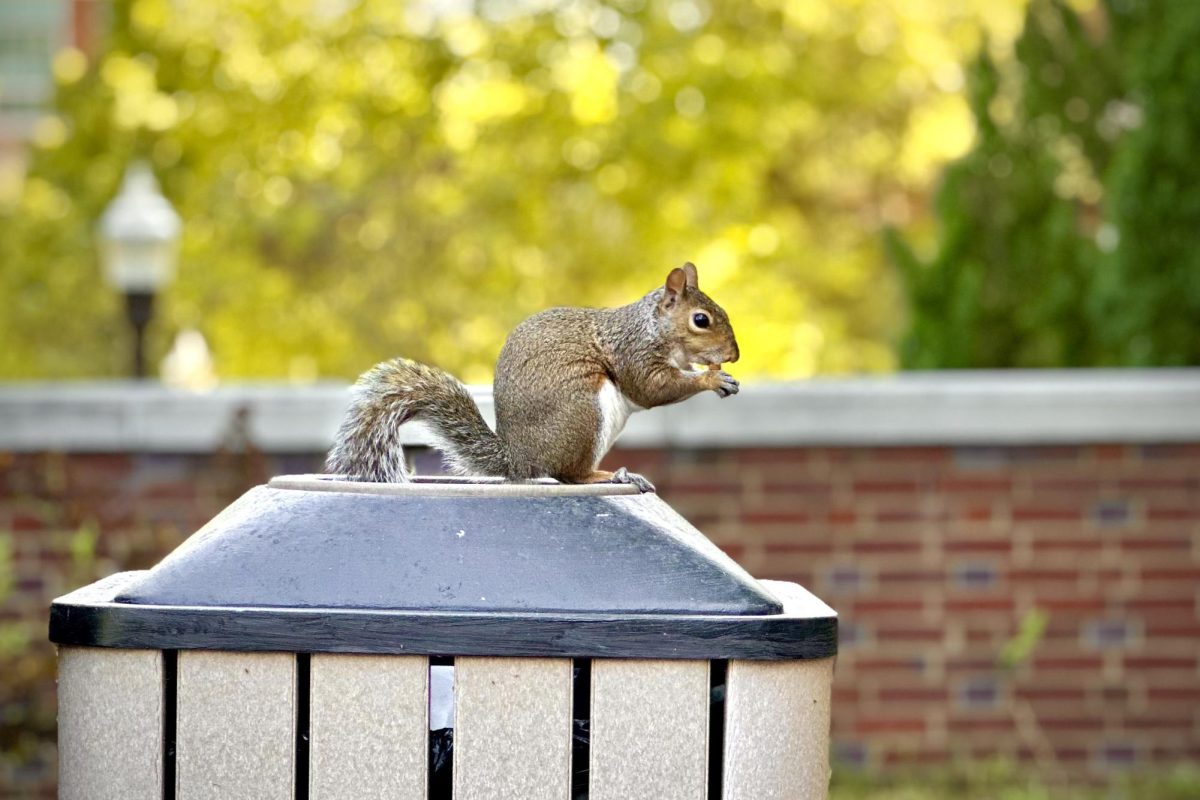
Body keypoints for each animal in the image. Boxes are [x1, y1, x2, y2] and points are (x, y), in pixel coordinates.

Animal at [328, 262, 739, 491]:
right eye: (701, 320)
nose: (734, 355)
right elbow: (653, 388)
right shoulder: (634, 354)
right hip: (584, 413)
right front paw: (711, 379)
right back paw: (611, 476)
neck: (653, 327)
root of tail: (520, 458)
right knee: (569, 474)